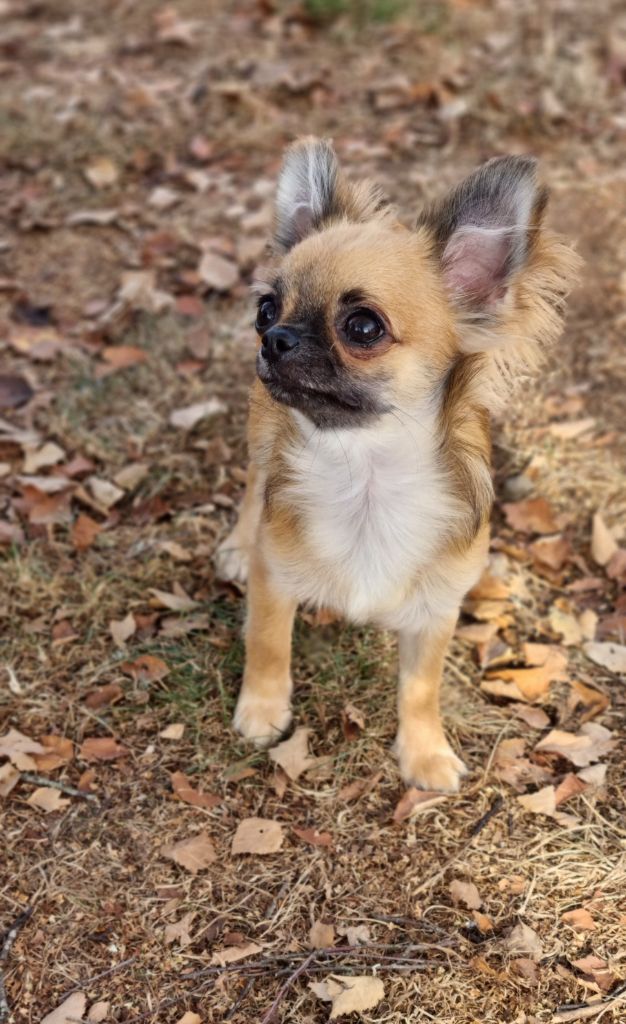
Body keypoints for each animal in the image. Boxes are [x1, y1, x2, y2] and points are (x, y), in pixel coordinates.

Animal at [215, 138, 577, 790]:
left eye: (363, 327)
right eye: (265, 308)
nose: (274, 337)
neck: (365, 476)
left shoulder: (435, 614)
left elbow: (420, 689)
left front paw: (425, 753)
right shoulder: (274, 579)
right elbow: (269, 645)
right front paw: (262, 710)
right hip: (260, 434)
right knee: (254, 485)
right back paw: (236, 542)